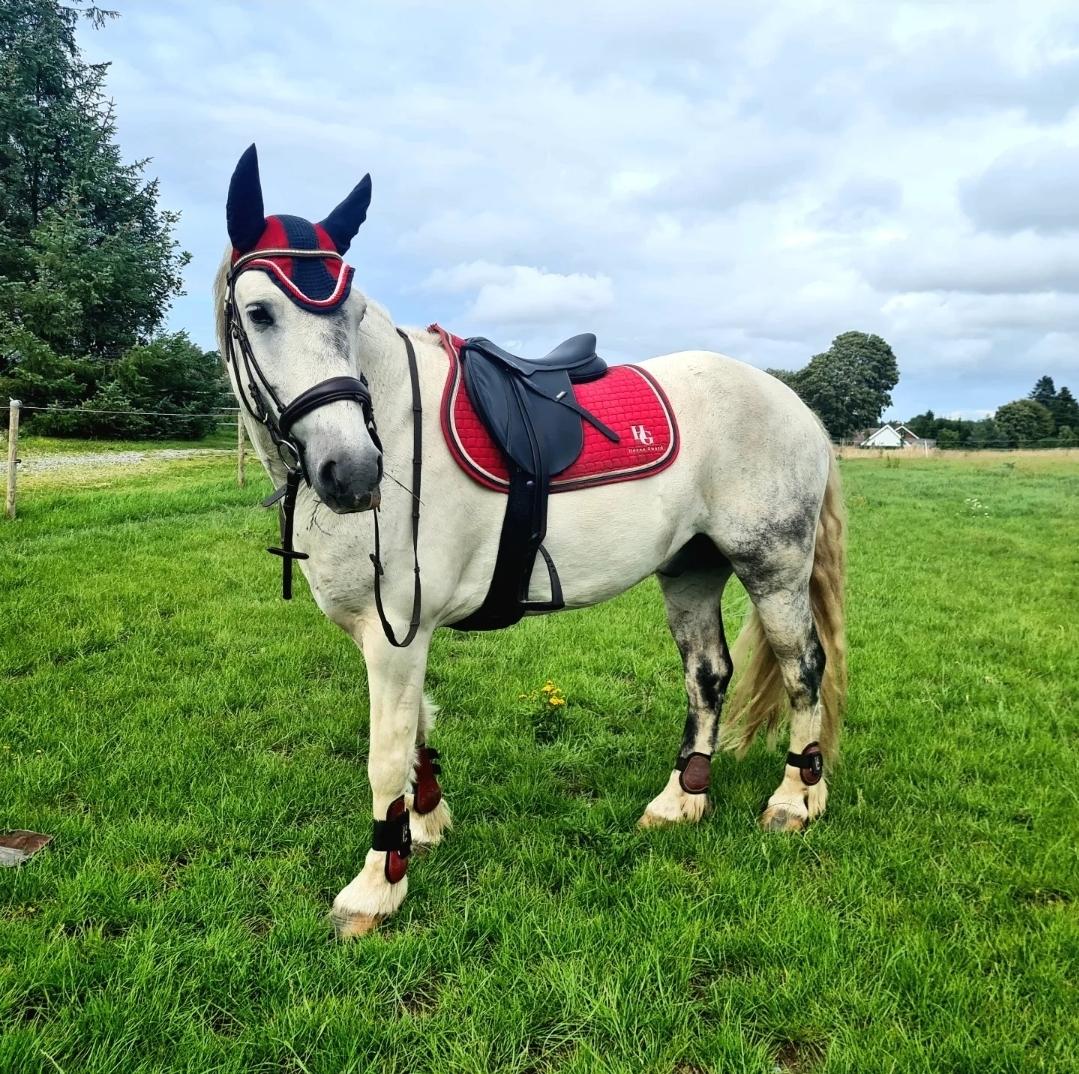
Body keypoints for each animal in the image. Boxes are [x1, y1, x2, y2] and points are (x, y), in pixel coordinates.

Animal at [214, 146, 845, 936]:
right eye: (260, 312)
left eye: (352, 314)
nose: (353, 471)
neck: (395, 421)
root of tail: (792, 401)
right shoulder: (399, 637)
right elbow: (417, 731)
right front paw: (424, 828)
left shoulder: (395, 635)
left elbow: (386, 753)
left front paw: (376, 886)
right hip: (691, 569)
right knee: (709, 676)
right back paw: (682, 800)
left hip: (773, 567)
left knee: (803, 669)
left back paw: (796, 799)